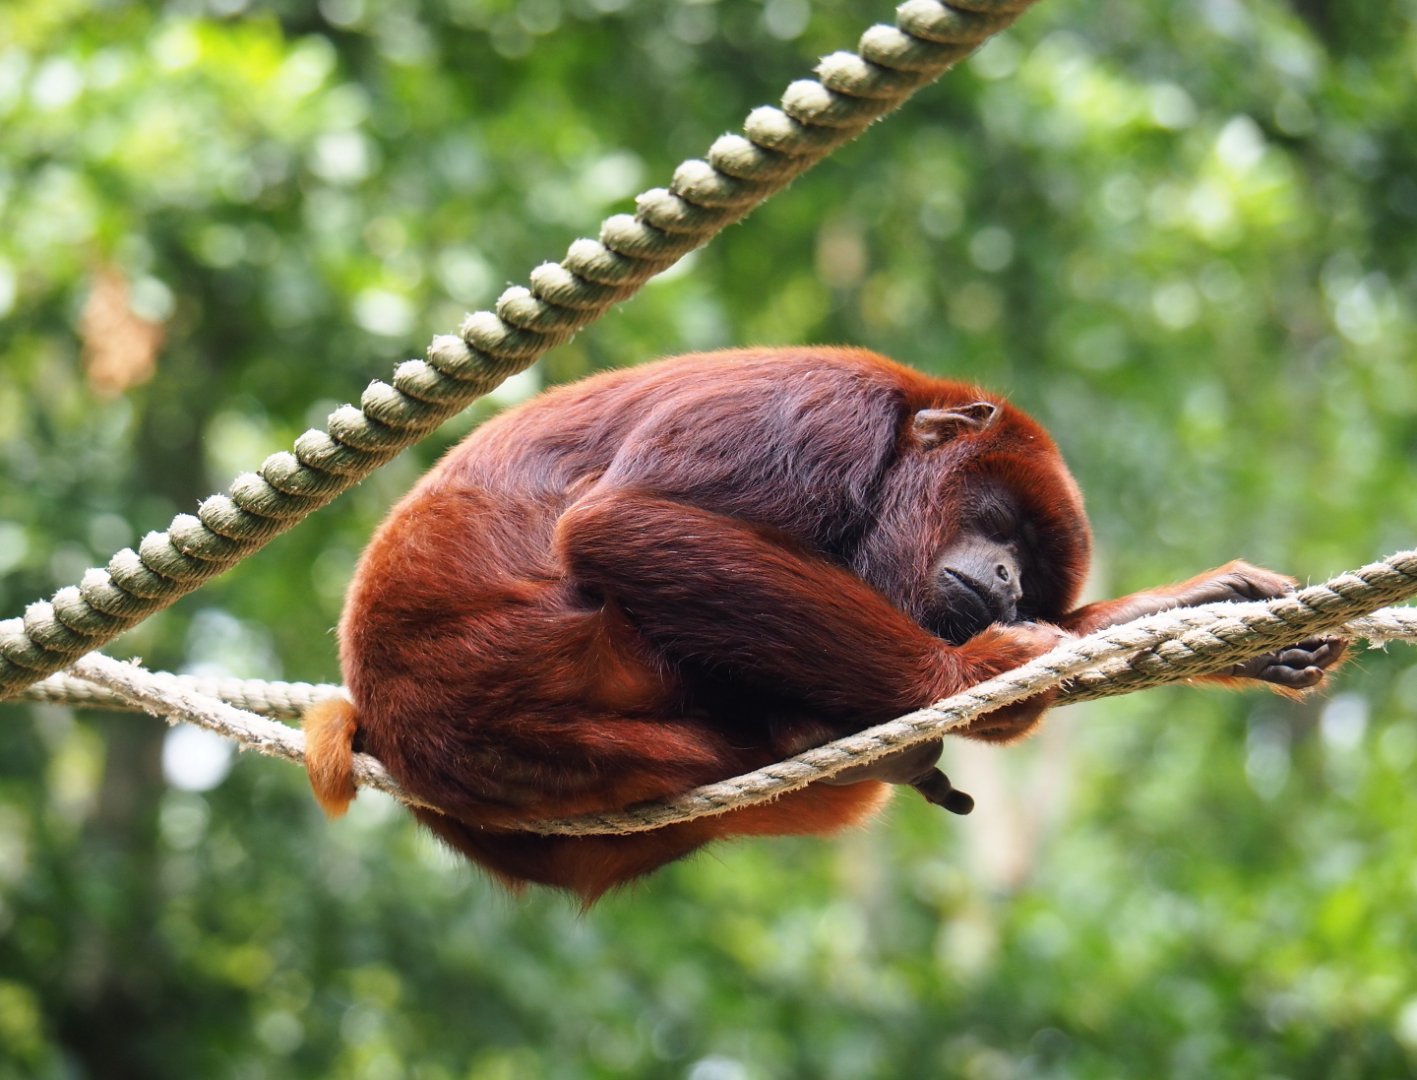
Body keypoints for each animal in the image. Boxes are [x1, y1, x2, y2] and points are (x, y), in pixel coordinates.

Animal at [303, 347, 1345, 901]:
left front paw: (1193, 606)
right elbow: (628, 525)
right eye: (1007, 532)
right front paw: (969, 680)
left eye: (1035, 579)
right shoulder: (820, 408)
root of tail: (396, 720)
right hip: (543, 658)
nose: (1010, 588)